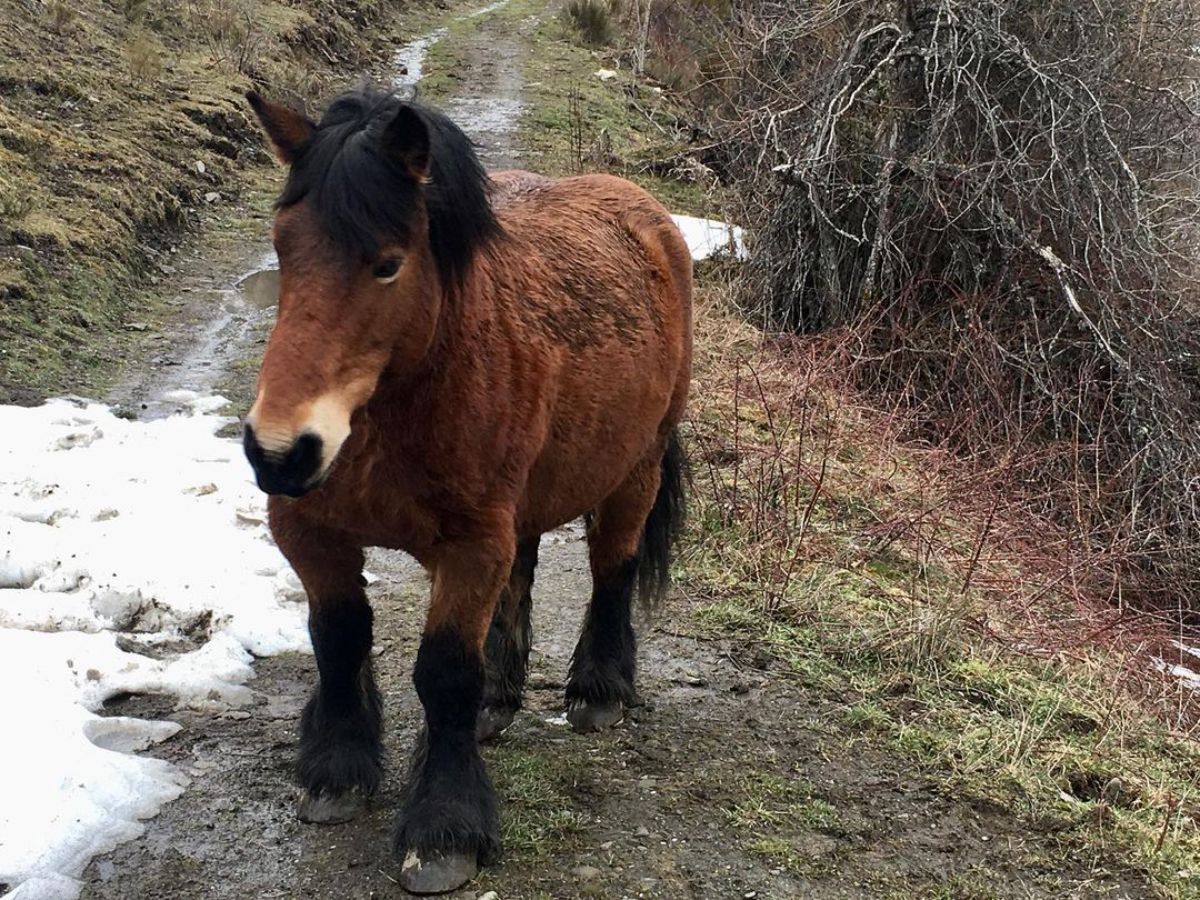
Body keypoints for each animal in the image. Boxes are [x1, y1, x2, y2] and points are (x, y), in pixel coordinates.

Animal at [241, 90, 696, 897]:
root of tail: (647, 212)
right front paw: (337, 769)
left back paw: (599, 690)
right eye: (284, 248)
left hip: (635, 468)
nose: (280, 452)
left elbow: (445, 672)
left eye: (387, 265)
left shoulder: (471, 546)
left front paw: (444, 829)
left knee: (612, 567)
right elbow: (338, 639)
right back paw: (499, 699)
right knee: (525, 570)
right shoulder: (310, 533)